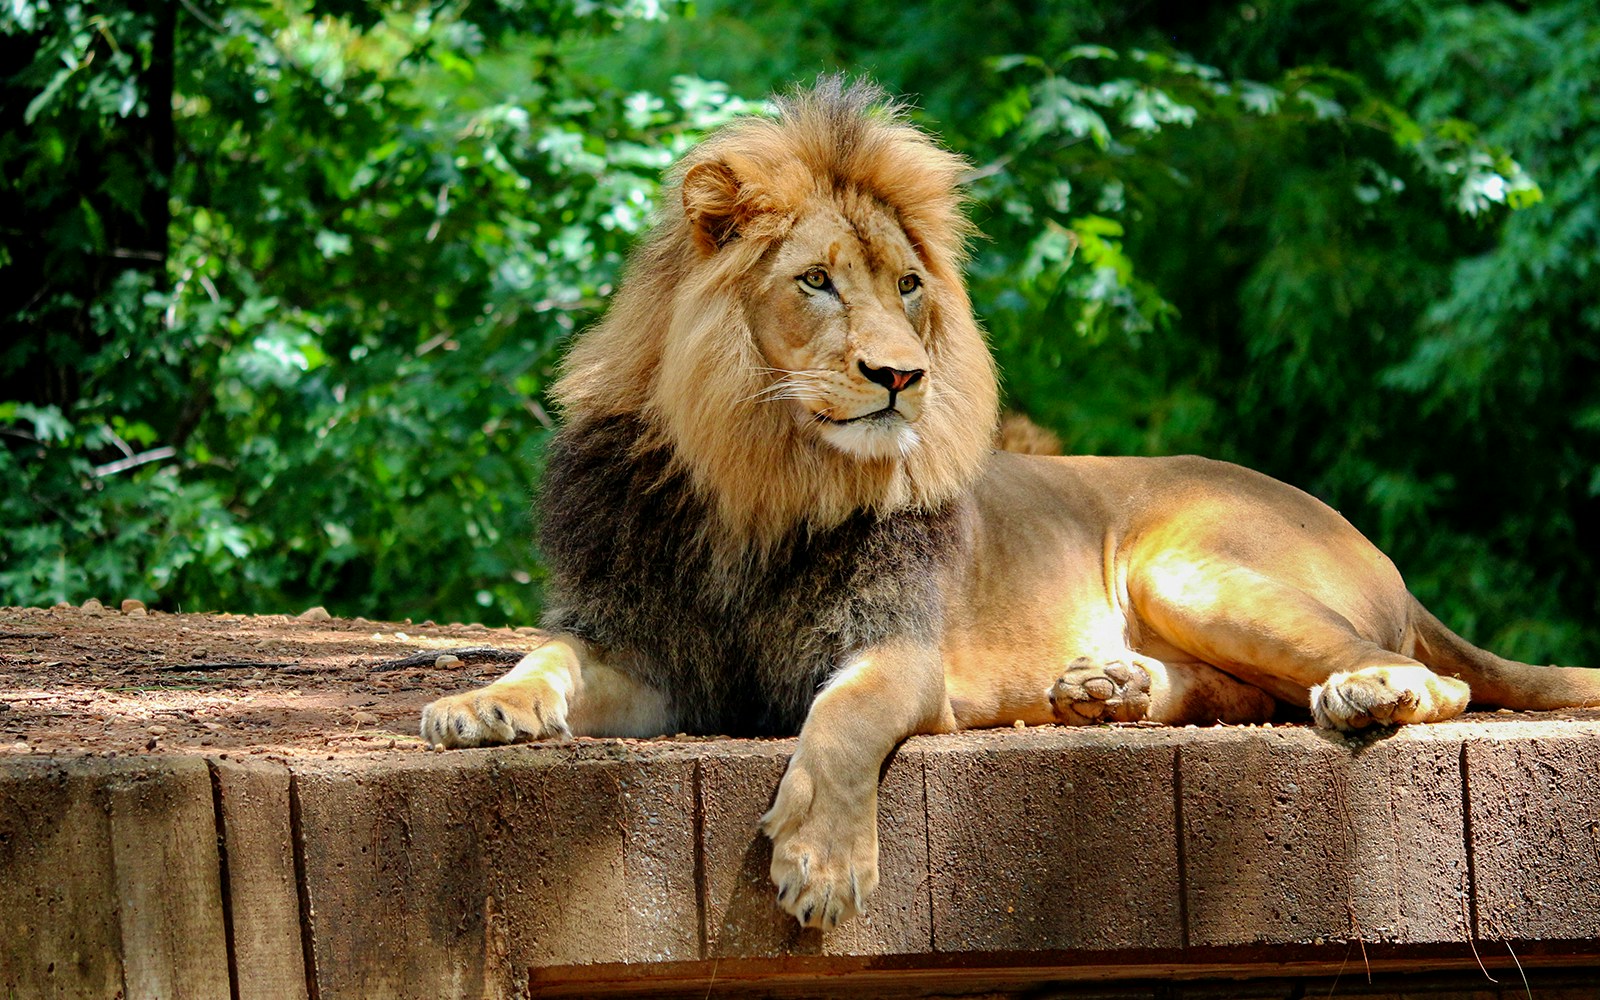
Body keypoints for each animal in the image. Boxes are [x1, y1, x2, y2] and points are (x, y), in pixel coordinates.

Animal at [421, 79, 1600, 930]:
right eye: (816, 282)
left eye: (907, 286)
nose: (900, 376)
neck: (761, 483)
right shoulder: (648, 652)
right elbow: (549, 657)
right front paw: (482, 706)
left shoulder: (899, 651)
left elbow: (840, 724)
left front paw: (822, 862)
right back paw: (1106, 690)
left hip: (1188, 566)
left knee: (1431, 680)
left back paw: (1357, 694)